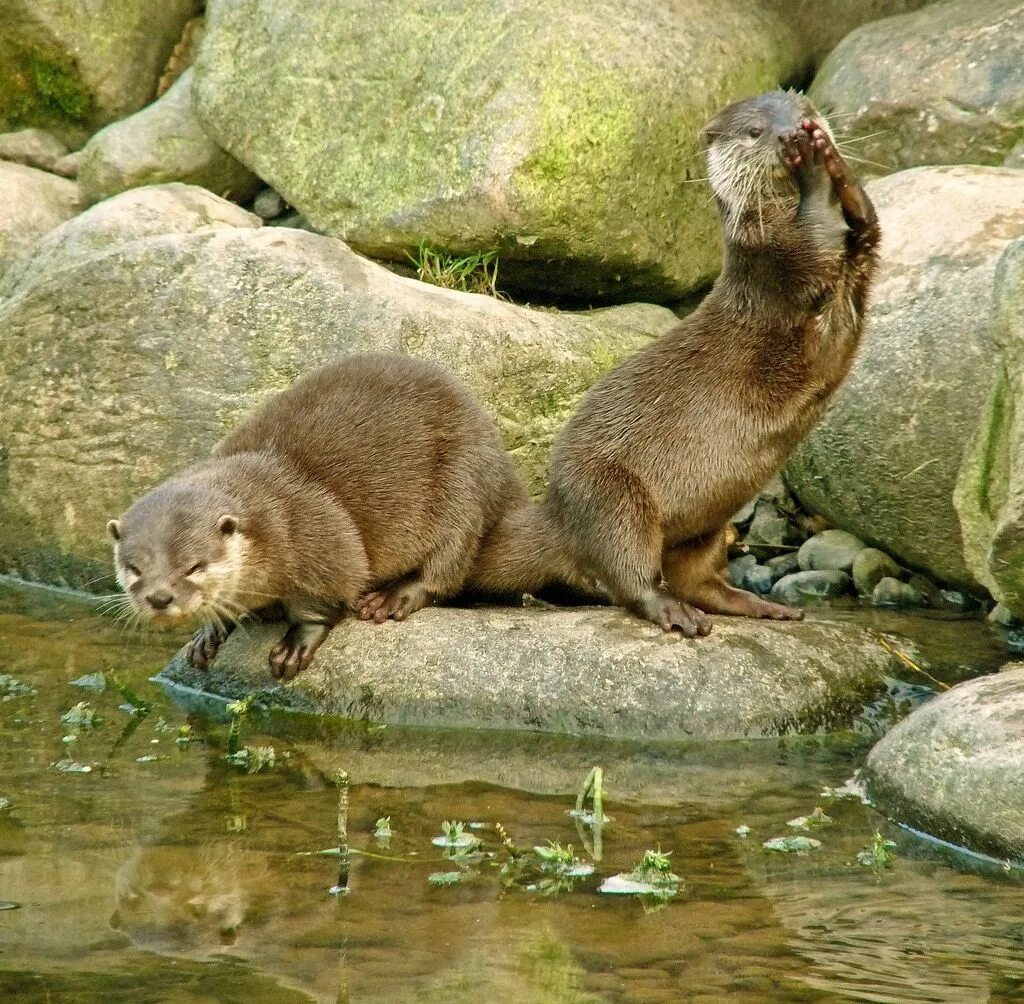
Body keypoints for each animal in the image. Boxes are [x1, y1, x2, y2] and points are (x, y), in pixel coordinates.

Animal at [109, 350, 528, 676]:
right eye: (135, 568)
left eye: (195, 566)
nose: (160, 597)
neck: (270, 516)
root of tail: (505, 468)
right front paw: (209, 631)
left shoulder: (318, 535)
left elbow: (325, 598)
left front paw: (294, 645)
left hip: (464, 485)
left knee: (446, 568)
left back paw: (391, 598)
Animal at [468, 88, 876, 635]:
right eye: (755, 132)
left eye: (806, 109)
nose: (796, 130)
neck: (769, 224)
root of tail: (555, 510)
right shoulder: (777, 262)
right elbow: (817, 232)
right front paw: (813, 167)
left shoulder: (856, 265)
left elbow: (868, 222)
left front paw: (835, 163)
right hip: (613, 497)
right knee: (628, 573)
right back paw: (674, 612)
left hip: (707, 526)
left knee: (697, 578)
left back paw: (760, 605)